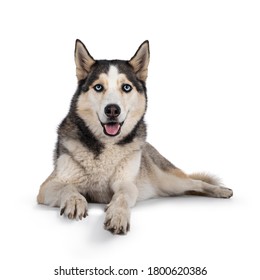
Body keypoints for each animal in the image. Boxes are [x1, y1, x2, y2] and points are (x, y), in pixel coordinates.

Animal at [37, 39, 234, 234]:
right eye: (98, 87)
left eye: (126, 87)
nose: (112, 110)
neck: (106, 146)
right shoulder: (48, 186)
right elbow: (68, 187)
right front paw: (75, 201)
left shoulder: (126, 183)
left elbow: (122, 196)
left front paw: (117, 215)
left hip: (170, 180)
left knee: (196, 182)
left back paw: (221, 191)